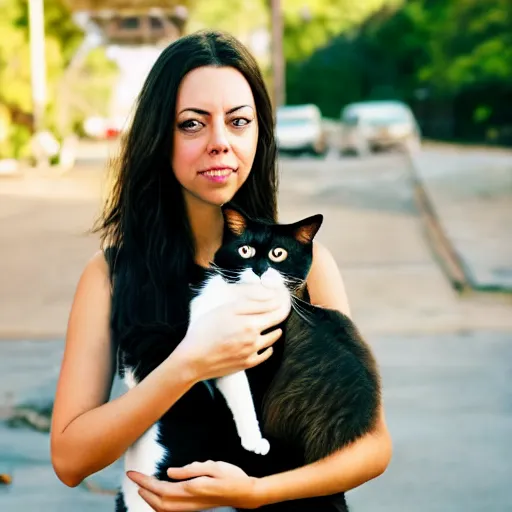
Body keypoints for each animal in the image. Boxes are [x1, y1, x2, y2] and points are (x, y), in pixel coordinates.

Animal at [114, 206, 382, 510]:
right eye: (245, 250)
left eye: (279, 254)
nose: (259, 268)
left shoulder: (259, 362)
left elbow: (241, 396)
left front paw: (254, 439)